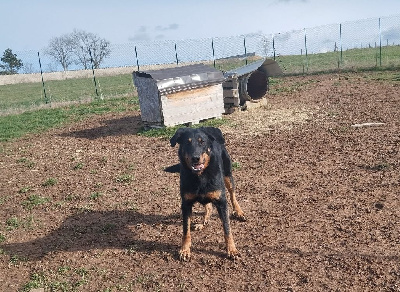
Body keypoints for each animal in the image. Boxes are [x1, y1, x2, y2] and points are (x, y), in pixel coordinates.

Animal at [170, 126, 245, 260]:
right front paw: (184, 249)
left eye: (202, 142)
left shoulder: (221, 202)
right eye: (187, 143)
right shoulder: (186, 204)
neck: (200, 176)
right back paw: (203, 222)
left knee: (232, 194)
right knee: (208, 206)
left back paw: (239, 211)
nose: (195, 158)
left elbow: (227, 229)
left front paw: (232, 250)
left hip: (227, 175)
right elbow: (186, 229)